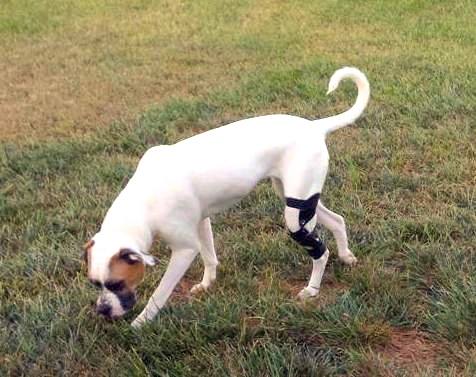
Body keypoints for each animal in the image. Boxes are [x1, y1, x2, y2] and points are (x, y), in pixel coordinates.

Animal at [83, 67, 370, 326]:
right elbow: (210, 257)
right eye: (95, 284)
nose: (103, 311)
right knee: (337, 220)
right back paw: (346, 256)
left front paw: (141, 323)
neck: (143, 201)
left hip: (295, 214)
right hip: (298, 198)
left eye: (117, 283)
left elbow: (160, 293)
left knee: (320, 251)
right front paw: (207, 284)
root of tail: (314, 127)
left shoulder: (184, 250)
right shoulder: (201, 222)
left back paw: (312, 288)